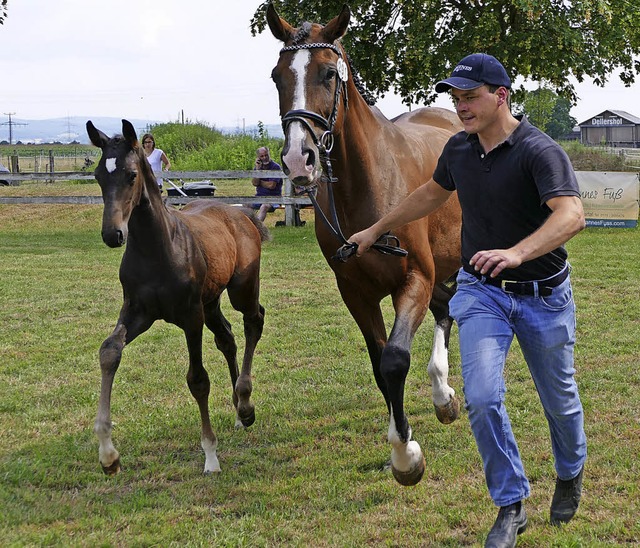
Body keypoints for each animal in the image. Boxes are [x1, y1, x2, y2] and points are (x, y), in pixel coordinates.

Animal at [86, 120, 266, 476]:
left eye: (131, 175)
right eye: (99, 174)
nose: (113, 234)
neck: (158, 248)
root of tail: (241, 213)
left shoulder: (190, 316)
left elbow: (198, 380)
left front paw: (210, 456)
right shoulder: (137, 311)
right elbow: (109, 351)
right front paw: (108, 454)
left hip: (240, 290)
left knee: (254, 321)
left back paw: (245, 403)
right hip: (211, 301)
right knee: (227, 337)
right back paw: (240, 411)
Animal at [268, 3, 462, 484]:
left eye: (328, 74)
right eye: (277, 76)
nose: (298, 159)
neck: (369, 183)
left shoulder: (414, 278)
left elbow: (395, 359)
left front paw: (406, 456)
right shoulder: (355, 291)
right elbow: (379, 365)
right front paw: (402, 444)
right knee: (445, 312)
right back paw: (443, 396)